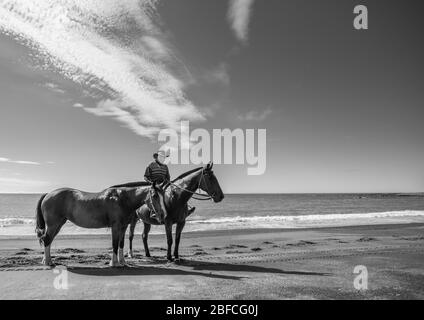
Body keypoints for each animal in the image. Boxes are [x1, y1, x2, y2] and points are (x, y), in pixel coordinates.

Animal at [34, 182, 166, 268]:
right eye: (155, 196)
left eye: (163, 195)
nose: (162, 215)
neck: (122, 199)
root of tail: (48, 194)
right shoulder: (116, 227)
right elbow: (114, 244)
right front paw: (114, 263)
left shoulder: (123, 227)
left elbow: (121, 244)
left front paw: (123, 262)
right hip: (53, 225)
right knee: (47, 240)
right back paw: (48, 262)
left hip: (58, 224)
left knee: (48, 240)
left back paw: (46, 260)